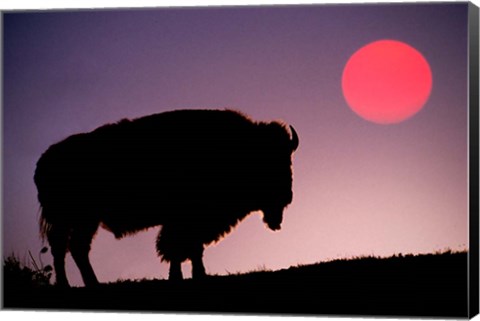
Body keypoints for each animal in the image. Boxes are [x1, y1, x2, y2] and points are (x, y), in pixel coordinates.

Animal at [33, 109, 298, 286]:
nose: (287, 196)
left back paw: (86, 284)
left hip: (83, 221)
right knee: (68, 248)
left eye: (287, 158)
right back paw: (76, 284)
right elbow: (182, 247)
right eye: (270, 160)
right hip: (77, 219)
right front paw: (193, 275)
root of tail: (44, 161)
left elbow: (184, 249)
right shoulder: (185, 220)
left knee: (72, 248)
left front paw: (186, 275)